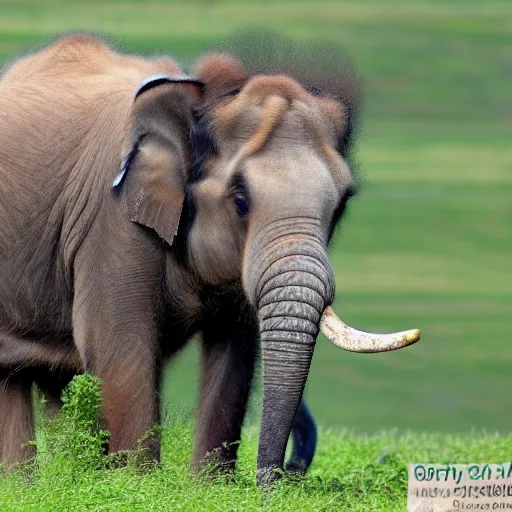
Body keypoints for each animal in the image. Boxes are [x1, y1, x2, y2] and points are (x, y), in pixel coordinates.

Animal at [0, 33, 420, 484]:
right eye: (240, 200)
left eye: (342, 203)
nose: (275, 482)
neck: (198, 96)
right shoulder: (111, 223)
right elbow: (120, 349)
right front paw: (139, 483)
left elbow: (234, 351)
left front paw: (210, 484)